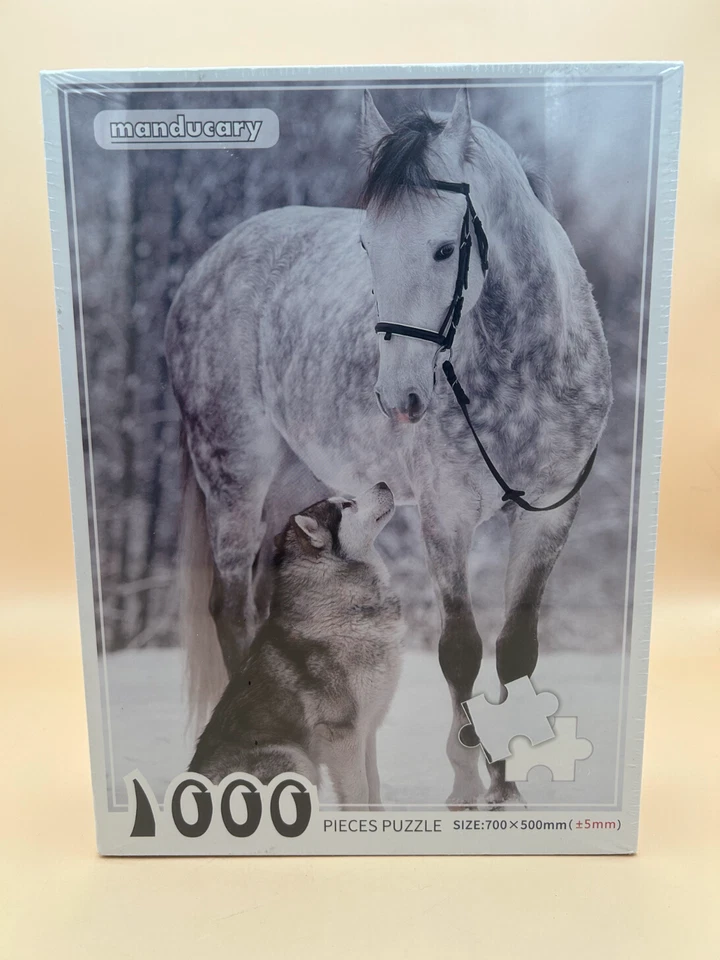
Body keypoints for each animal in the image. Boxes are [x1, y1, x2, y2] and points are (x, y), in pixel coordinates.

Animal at [188, 482, 403, 808]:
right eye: (347, 506)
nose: (383, 483)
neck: (341, 606)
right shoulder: (342, 733)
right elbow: (359, 793)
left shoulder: (367, 728)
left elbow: (374, 788)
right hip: (296, 757)